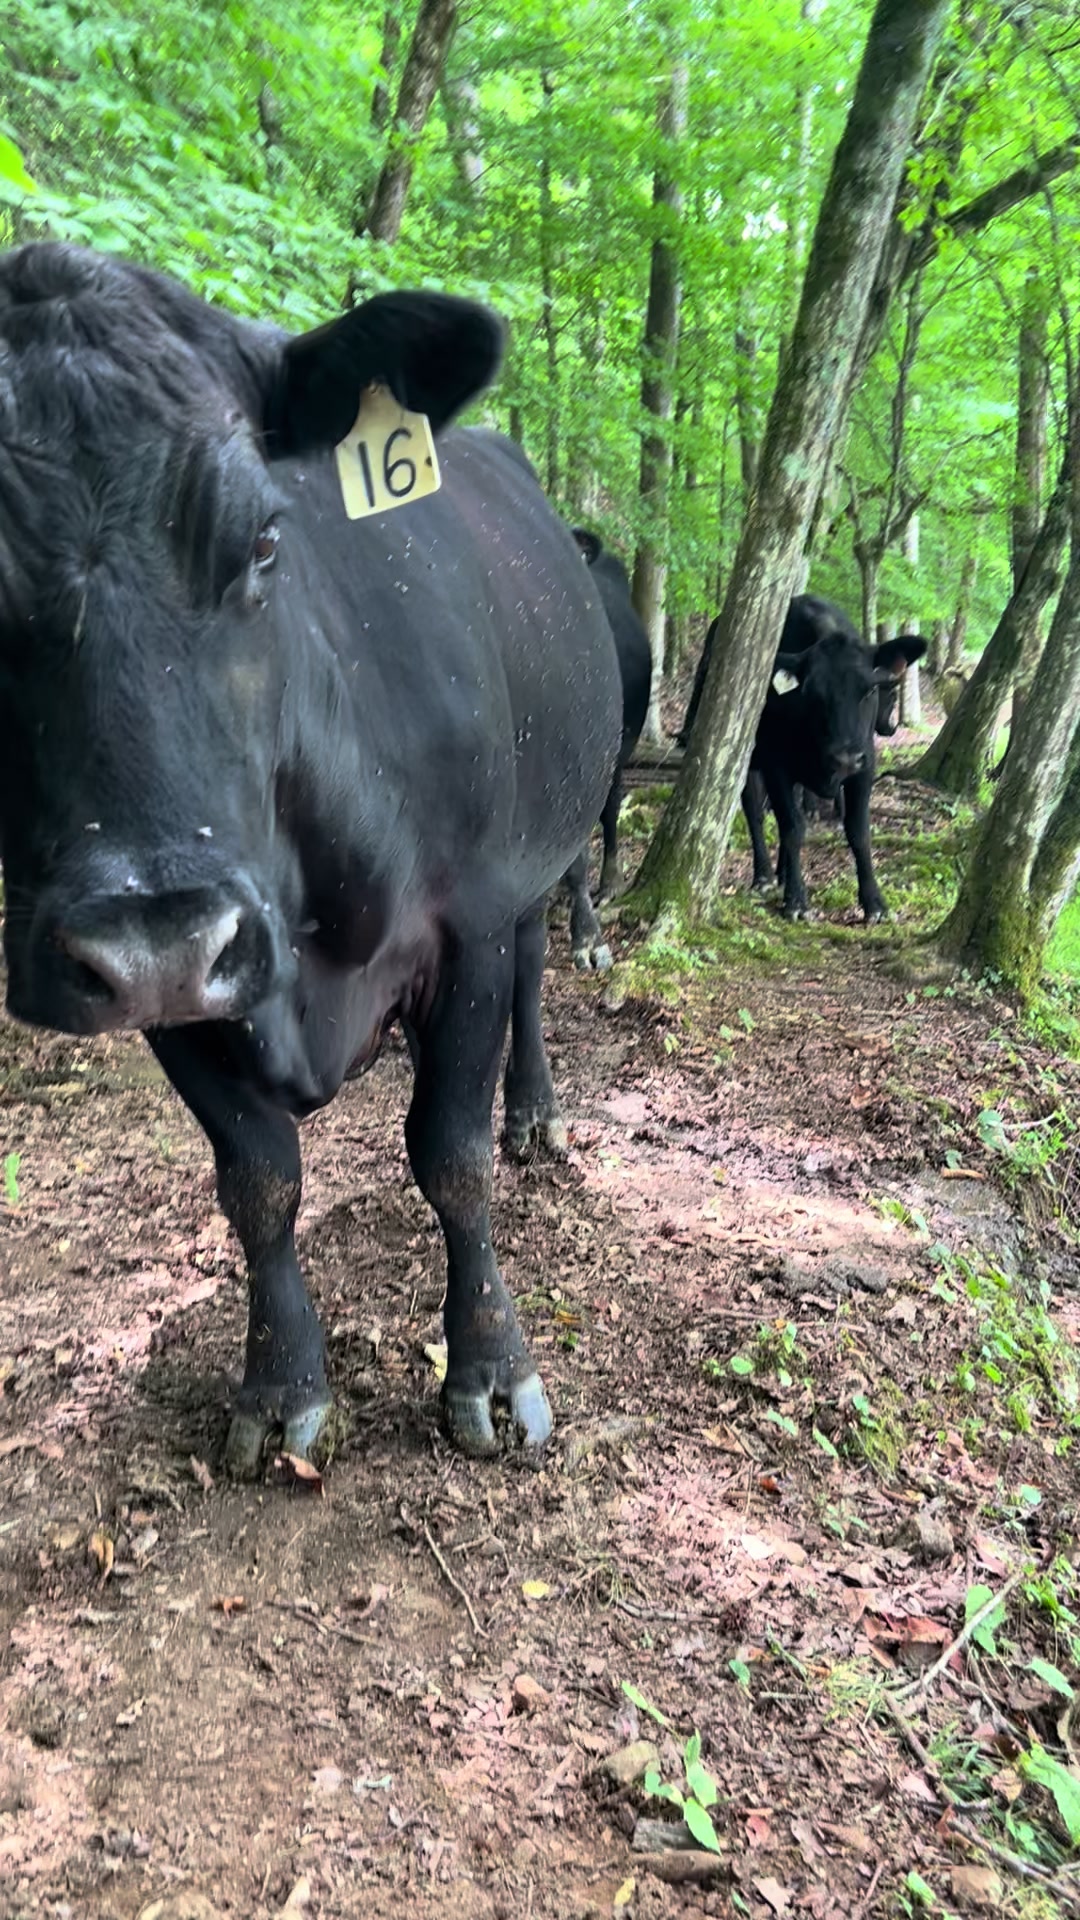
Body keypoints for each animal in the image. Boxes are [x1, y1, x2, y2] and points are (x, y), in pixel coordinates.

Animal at [0, 243, 623, 1474]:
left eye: (265, 541)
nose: (154, 936)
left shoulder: (468, 924)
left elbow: (451, 1155)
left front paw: (492, 1368)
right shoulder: (198, 984)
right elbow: (258, 1181)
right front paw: (280, 1383)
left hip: (539, 849)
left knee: (535, 971)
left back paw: (536, 1109)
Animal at [679, 596, 925, 921]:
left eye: (870, 689)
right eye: (812, 693)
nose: (844, 758)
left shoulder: (865, 766)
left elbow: (859, 831)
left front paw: (875, 903)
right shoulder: (776, 766)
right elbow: (792, 826)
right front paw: (795, 900)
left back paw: (782, 872)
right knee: (755, 812)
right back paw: (765, 876)